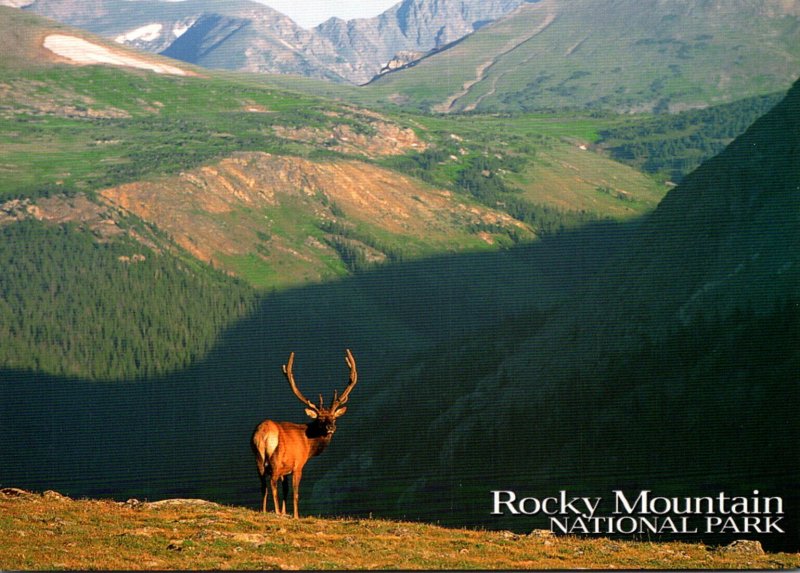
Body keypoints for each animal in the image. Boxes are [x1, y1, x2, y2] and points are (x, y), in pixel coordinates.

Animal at [252, 348, 358, 520]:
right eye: (320, 419)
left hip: (258, 459)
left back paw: (264, 510)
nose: (331, 427)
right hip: (275, 459)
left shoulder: (286, 470)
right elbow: (295, 493)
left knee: (263, 484)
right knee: (272, 483)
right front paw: (294, 515)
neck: (309, 445)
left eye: (334, 417)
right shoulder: (298, 465)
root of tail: (264, 434)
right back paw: (275, 512)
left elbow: (286, 490)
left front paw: (284, 512)